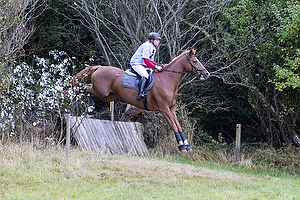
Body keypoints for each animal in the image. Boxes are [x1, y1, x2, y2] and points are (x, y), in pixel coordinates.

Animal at [72, 48, 210, 152]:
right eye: (194, 61)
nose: (207, 74)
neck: (168, 79)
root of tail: (100, 67)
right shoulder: (164, 109)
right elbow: (173, 126)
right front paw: (182, 146)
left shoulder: (170, 109)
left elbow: (178, 125)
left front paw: (186, 145)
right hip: (101, 92)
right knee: (86, 91)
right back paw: (90, 108)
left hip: (110, 96)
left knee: (88, 92)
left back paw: (89, 109)